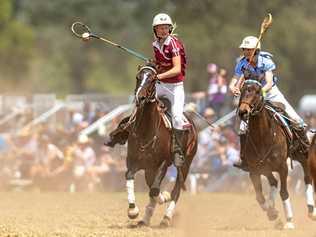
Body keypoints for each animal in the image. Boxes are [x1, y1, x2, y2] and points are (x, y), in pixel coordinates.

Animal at [123, 64, 198, 227]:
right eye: (138, 77)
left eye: (152, 79)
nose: (140, 98)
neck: (146, 130)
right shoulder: (134, 161)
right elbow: (131, 177)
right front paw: (133, 210)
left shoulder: (163, 162)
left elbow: (155, 190)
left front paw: (165, 196)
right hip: (150, 168)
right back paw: (145, 219)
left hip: (185, 163)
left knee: (177, 189)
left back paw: (166, 218)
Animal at [238, 80, 314, 230]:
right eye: (242, 90)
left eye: (257, 92)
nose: (243, 112)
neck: (262, 137)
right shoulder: (254, 170)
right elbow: (259, 196)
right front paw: (272, 212)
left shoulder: (282, 167)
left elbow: (284, 192)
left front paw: (289, 221)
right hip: (266, 168)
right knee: (273, 182)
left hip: (302, 156)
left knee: (307, 179)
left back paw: (311, 210)